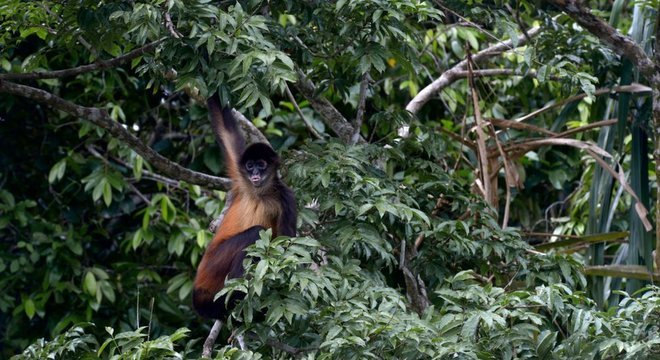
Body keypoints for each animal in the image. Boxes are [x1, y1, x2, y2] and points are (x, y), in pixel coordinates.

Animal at [189, 96, 296, 320]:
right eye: (250, 165)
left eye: (261, 165)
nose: (254, 174)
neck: (259, 192)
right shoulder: (241, 178)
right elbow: (224, 126)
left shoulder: (287, 197)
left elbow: (287, 242)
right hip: (212, 266)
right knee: (254, 233)